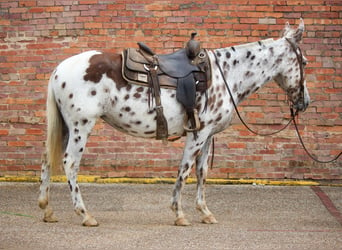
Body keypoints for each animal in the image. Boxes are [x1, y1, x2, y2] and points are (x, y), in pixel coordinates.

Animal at [38, 19, 310, 227]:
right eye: (305, 62)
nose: (305, 102)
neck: (225, 75)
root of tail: (58, 70)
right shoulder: (198, 134)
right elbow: (185, 169)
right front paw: (179, 213)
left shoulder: (208, 135)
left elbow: (202, 172)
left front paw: (205, 212)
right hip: (80, 126)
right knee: (70, 163)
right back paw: (85, 215)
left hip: (66, 126)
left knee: (48, 159)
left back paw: (47, 209)